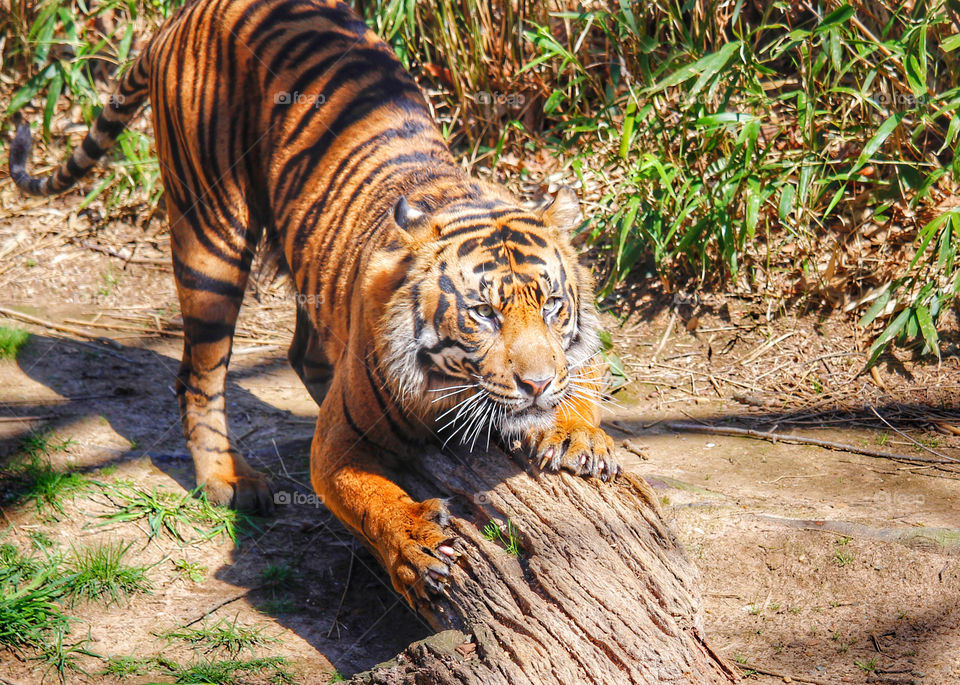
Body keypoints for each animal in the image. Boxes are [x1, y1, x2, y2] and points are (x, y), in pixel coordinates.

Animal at [9, 0, 620, 606]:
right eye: (484, 313)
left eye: (552, 305)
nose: (536, 384)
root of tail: (182, 15)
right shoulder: (337, 447)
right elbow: (369, 495)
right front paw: (416, 548)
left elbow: (581, 378)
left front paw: (578, 435)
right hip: (211, 235)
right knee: (199, 375)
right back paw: (228, 479)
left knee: (301, 351)